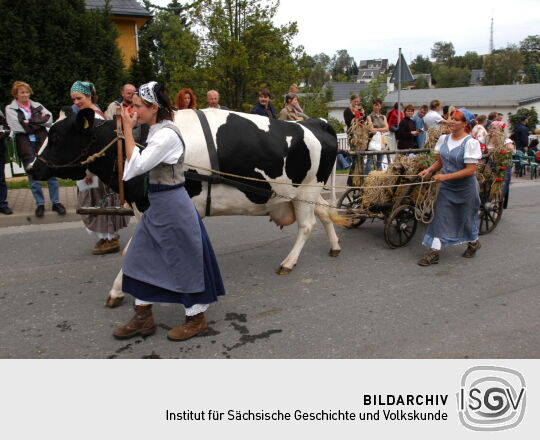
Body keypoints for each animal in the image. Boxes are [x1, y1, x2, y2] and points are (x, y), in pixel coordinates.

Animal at [30, 107, 346, 306]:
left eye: (56, 136)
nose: (32, 168)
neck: (139, 145)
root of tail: (315, 122)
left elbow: (133, 250)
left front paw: (119, 292)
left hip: (306, 189)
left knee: (307, 225)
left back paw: (288, 262)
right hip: (305, 193)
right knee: (324, 213)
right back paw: (334, 246)